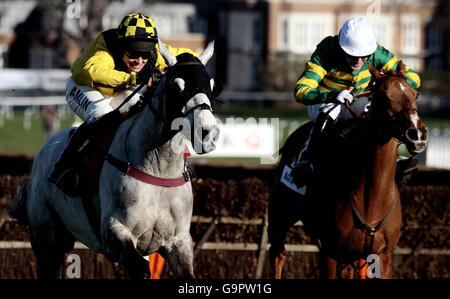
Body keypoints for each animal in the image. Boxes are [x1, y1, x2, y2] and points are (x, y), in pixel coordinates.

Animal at [9, 40, 221, 278]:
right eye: (177, 87)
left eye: (212, 87)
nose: (207, 133)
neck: (158, 168)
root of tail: (47, 146)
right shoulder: (115, 232)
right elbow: (141, 269)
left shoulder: (178, 242)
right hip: (47, 240)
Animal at [268, 62, 428, 280]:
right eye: (384, 95)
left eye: (416, 94)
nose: (417, 134)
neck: (371, 197)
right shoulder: (330, 250)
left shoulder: (383, 254)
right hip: (280, 214)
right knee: (278, 254)